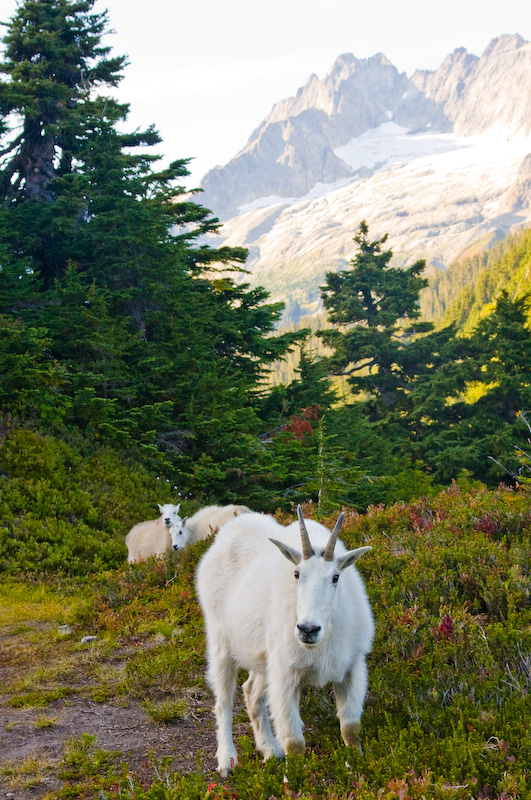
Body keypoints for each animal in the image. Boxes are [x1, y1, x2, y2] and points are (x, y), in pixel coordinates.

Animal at [195, 506, 374, 776]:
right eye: (297, 574)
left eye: (335, 577)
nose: (308, 629)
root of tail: (222, 536)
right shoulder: (286, 676)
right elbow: (294, 741)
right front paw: (294, 780)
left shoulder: (351, 668)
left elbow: (350, 729)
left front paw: (356, 771)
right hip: (220, 642)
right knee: (223, 702)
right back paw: (227, 760)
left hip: (263, 659)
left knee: (251, 692)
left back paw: (270, 750)